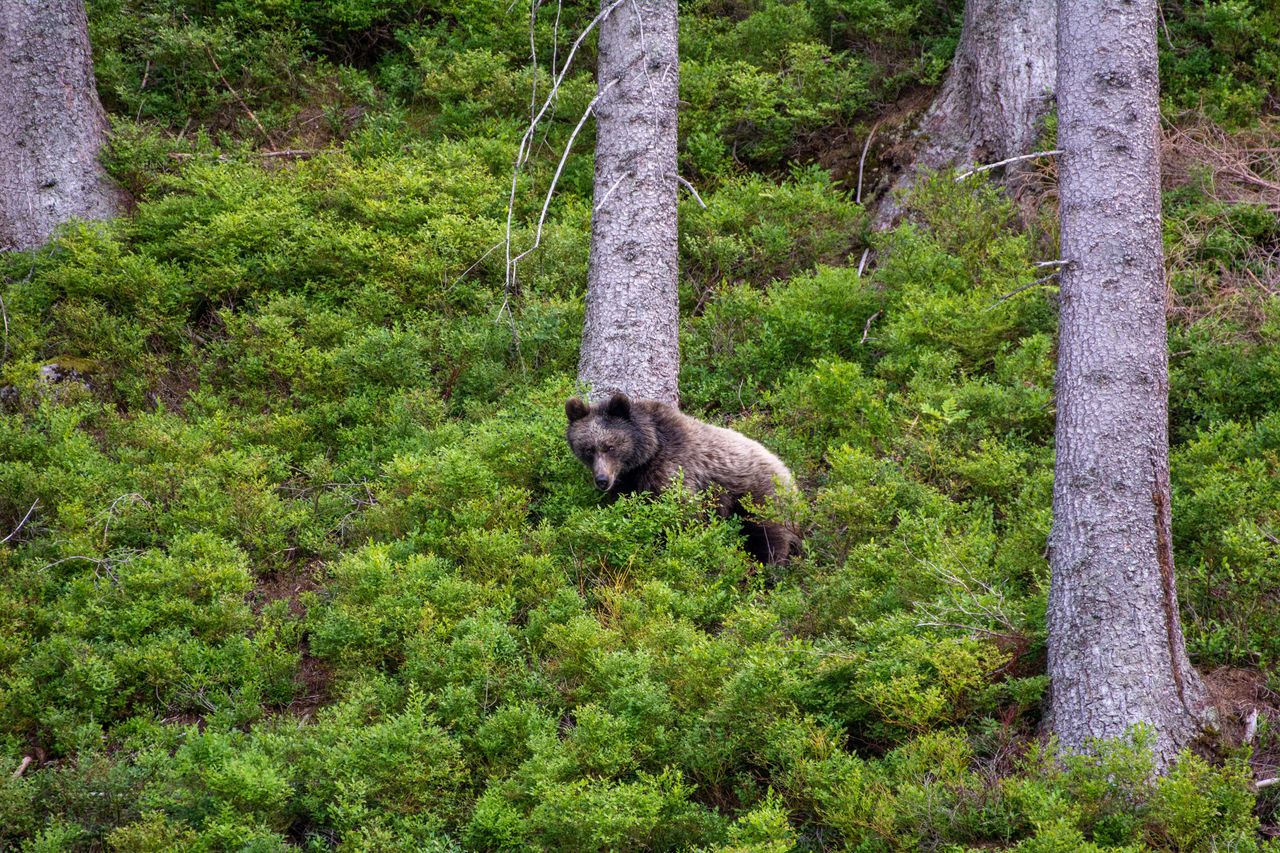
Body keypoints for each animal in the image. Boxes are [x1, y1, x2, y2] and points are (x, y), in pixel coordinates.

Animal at [568, 391, 798, 563]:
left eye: (610, 446)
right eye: (588, 449)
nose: (602, 480)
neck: (647, 454)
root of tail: (787, 471)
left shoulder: (673, 471)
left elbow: (681, 514)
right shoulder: (628, 483)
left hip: (758, 496)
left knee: (768, 536)